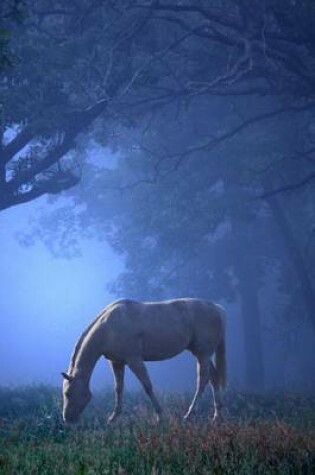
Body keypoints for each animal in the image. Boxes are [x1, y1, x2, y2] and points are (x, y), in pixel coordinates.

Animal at [61, 300, 227, 426]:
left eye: (68, 393)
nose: (67, 419)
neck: (109, 327)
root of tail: (216, 308)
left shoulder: (134, 359)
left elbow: (147, 386)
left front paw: (160, 417)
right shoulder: (117, 362)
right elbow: (118, 389)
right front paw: (113, 418)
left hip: (203, 354)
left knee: (202, 381)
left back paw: (189, 415)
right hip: (201, 353)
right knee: (213, 379)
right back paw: (217, 416)